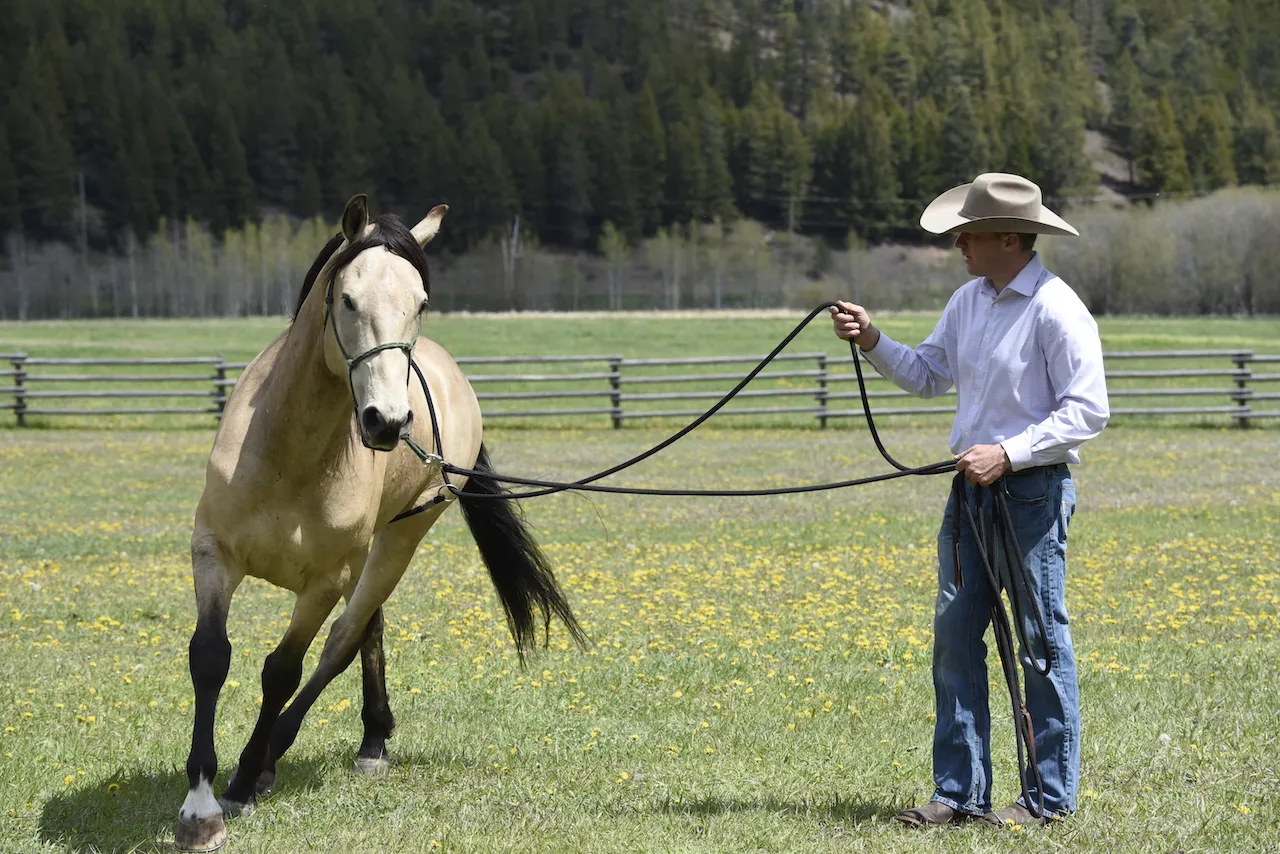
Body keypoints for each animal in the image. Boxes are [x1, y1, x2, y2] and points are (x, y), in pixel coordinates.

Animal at [174, 195, 585, 852]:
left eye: (419, 302)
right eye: (347, 299)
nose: (387, 422)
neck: (290, 455)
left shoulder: (325, 581)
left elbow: (285, 668)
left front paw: (239, 782)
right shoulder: (214, 555)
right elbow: (211, 657)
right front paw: (198, 807)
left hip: (397, 541)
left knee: (345, 640)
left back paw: (286, 758)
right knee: (369, 630)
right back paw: (369, 738)